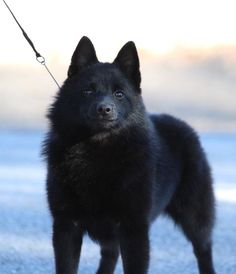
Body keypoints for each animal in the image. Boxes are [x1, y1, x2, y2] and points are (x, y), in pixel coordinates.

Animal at [42, 37, 216, 274]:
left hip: (195, 216)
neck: (97, 151)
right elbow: (67, 266)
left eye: (119, 94)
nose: (104, 109)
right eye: (88, 91)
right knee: (111, 254)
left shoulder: (134, 229)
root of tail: (182, 125)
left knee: (203, 249)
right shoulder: (66, 226)